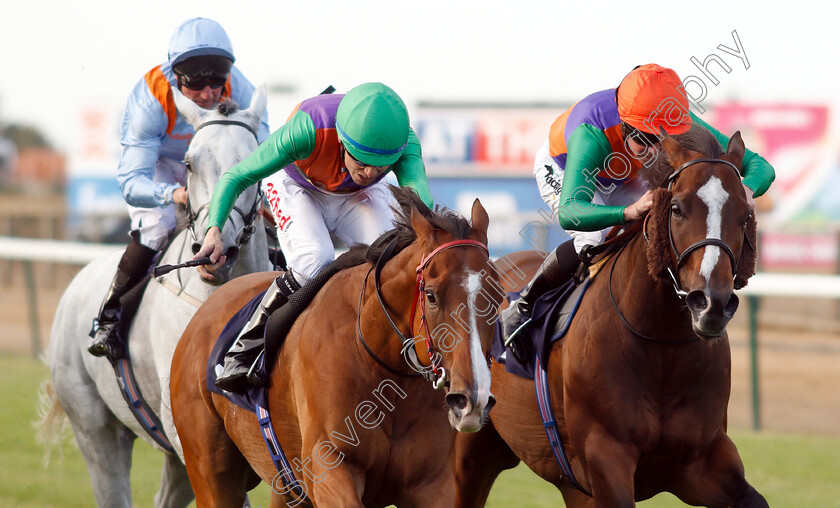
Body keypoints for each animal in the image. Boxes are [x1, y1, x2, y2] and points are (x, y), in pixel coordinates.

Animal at [167, 188, 502, 508]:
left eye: (497, 298)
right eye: (431, 295)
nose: (471, 400)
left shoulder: (431, 484)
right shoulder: (328, 469)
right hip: (212, 473)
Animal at [452, 128, 768, 508]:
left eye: (745, 215)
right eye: (676, 209)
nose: (712, 304)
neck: (663, 347)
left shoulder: (702, 460)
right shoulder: (604, 456)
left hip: (569, 484)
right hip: (473, 445)